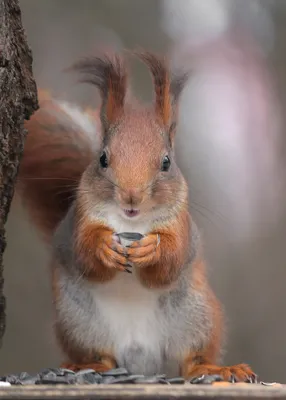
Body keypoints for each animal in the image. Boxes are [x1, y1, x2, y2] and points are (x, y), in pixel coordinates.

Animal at [16, 51, 256, 380]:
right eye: (103, 158)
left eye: (166, 162)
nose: (131, 196)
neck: (132, 221)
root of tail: (142, 359)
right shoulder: (81, 220)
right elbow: (86, 256)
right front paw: (104, 247)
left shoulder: (180, 224)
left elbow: (170, 261)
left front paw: (152, 248)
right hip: (78, 322)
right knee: (102, 358)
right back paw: (88, 365)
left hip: (196, 315)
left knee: (191, 359)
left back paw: (217, 368)